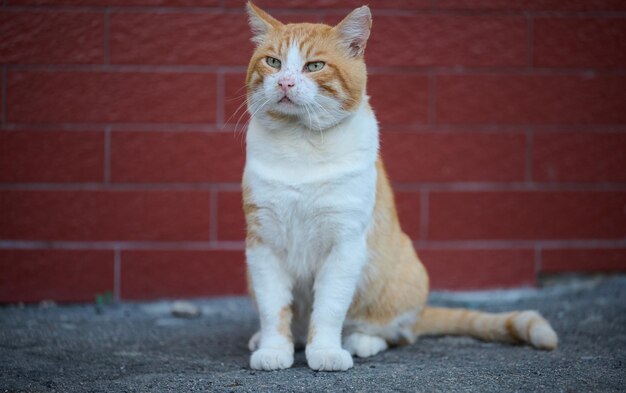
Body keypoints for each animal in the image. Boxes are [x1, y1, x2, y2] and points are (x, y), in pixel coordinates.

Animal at [240, 2, 556, 370]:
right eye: (273, 62)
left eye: (314, 66)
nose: (286, 82)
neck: (300, 143)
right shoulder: (262, 243)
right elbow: (273, 307)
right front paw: (274, 349)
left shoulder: (345, 243)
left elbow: (330, 307)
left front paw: (327, 352)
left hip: (405, 272)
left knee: (398, 332)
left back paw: (362, 341)